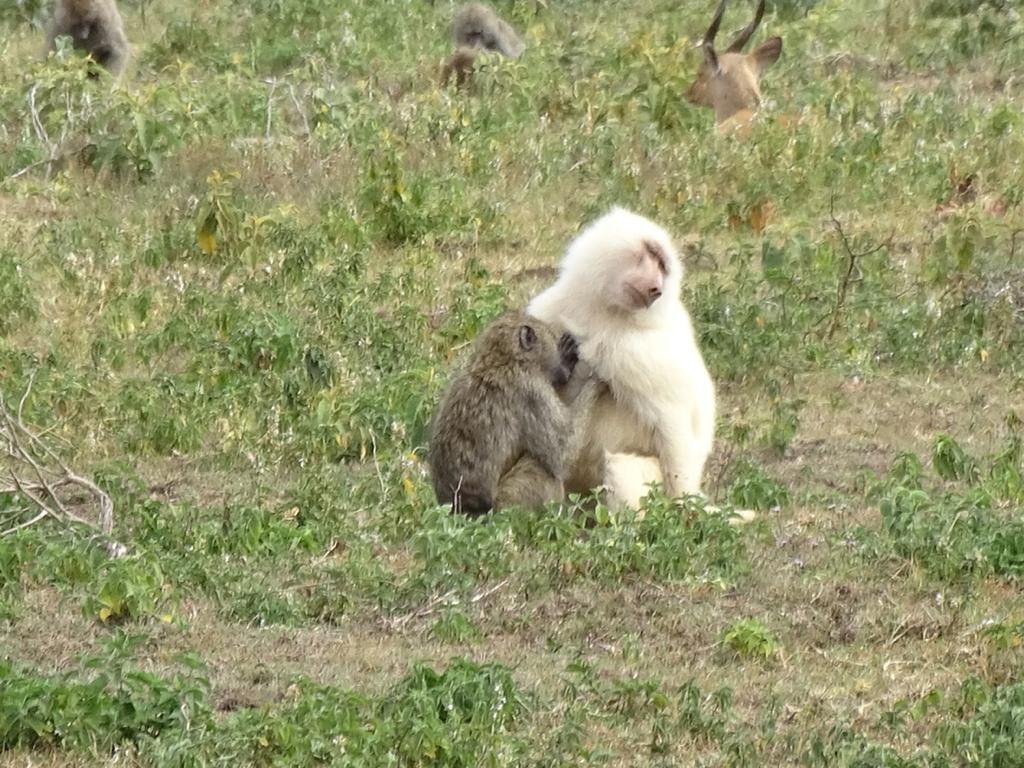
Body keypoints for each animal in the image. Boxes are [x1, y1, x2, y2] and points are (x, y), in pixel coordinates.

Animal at [428, 310, 599, 516]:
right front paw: (596, 381)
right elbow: (563, 453)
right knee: (541, 469)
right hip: (509, 504)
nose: (561, 365)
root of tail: (463, 511)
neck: (501, 360)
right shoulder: (532, 392)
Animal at [527, 207, 719, 513]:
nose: (656, 288)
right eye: (651, 253)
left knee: (619, 465)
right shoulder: (551, 312)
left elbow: (674, 420)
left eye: (662, 266)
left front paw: (684, 508)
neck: (607, 313)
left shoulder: (632, 351)